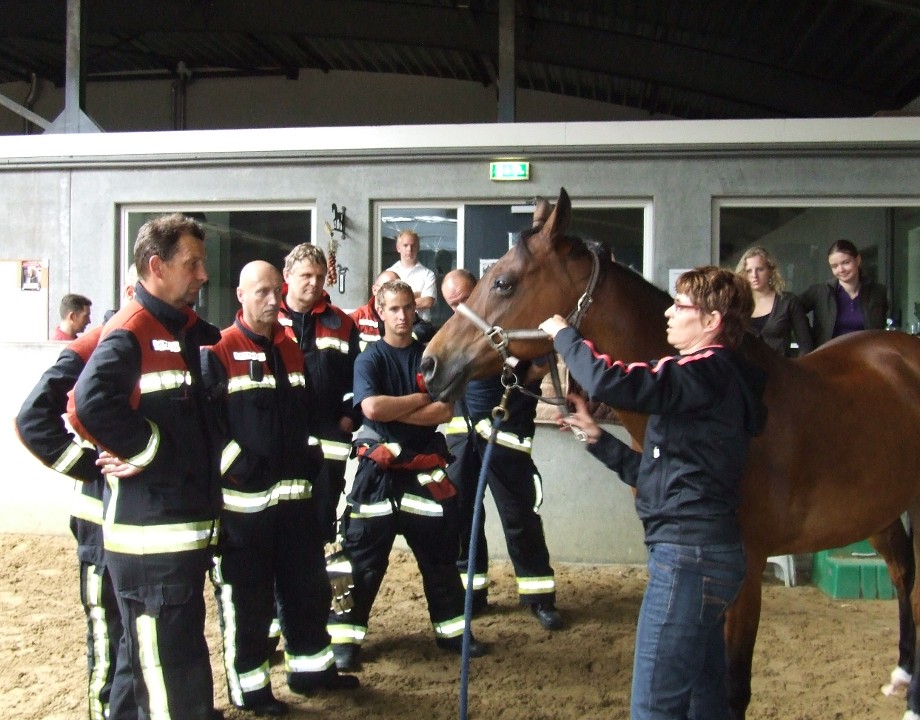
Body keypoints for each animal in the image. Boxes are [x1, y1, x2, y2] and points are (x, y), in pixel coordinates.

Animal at [420, 188, 920, 716]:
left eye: (504, 282)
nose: (430, 363)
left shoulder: (744, 571)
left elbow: (734, 688)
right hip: (880, 511)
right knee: (902, 575)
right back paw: (902, 674)